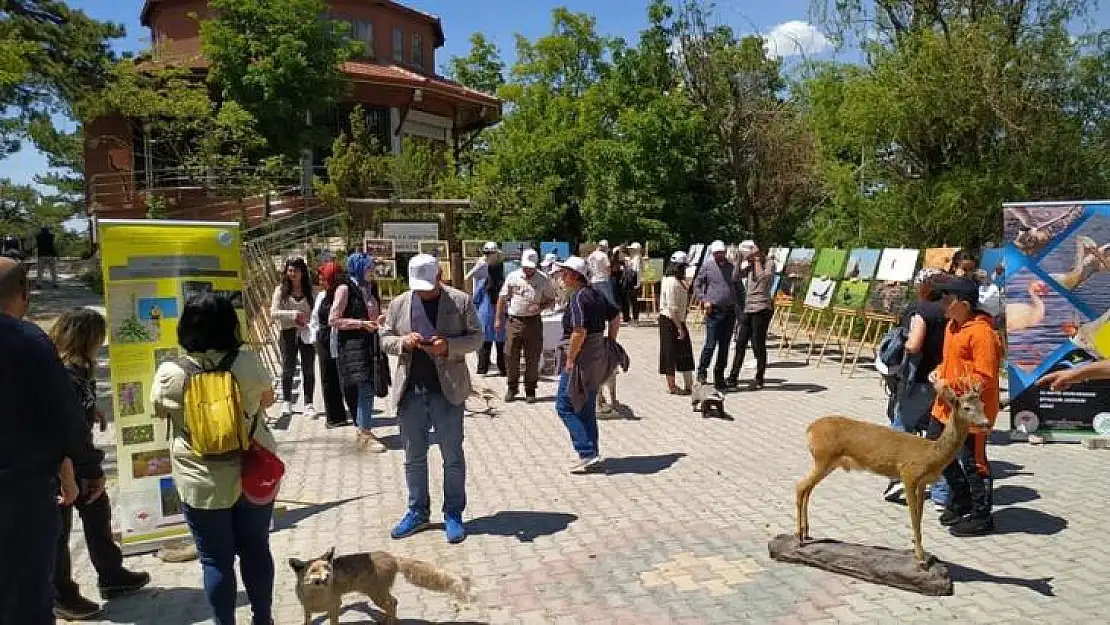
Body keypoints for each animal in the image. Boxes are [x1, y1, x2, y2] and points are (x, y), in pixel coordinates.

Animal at [288, 546, 470, 621]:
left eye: (327, 567)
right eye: (314, 570)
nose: (327, 576)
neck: (316, 598)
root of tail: (392, 557)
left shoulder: (335, 607)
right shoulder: (307, 609)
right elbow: (307, 622)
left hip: (376, 595)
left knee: (392, 604)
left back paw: (390, 622)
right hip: (379, 594)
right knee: (394, 602)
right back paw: (388, 620)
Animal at [799, 381, 990, 568]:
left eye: (982, 405)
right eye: (966, 407)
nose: (987, 423)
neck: (930, 455)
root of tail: (809, 429)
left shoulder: (923, 482)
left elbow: (920, 514)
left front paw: (917, 547)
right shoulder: (908, 474)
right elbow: (914, 516)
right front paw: (920, 556)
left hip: (828, 462)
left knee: (807, 488)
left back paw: (806, 533)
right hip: (824, 458)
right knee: (800, 486)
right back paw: (800, 536)